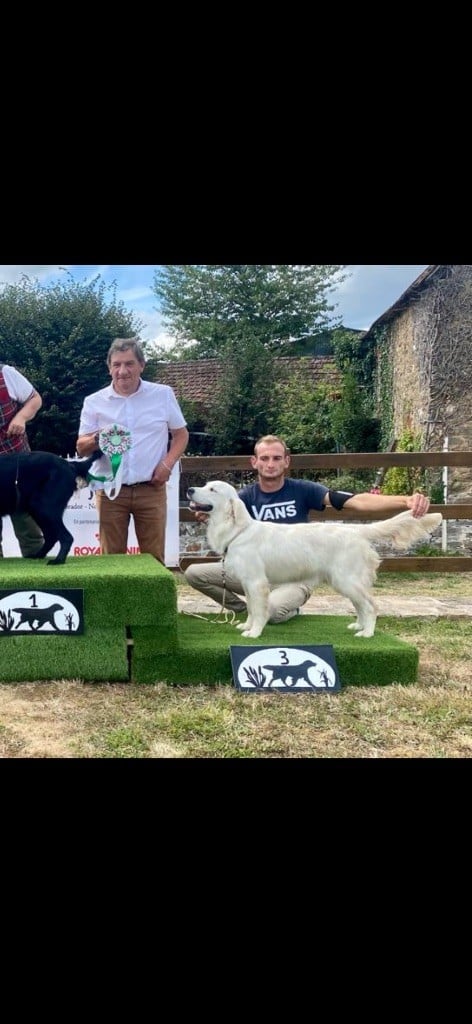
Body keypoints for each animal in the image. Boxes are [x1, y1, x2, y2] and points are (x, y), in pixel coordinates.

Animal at [187, 481, 443, 638]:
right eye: (205, 485)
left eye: (212, 489)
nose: (189, 489)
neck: (237, 529)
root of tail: (356, 530)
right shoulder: (248, 583)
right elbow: (250, 608)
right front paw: (247, 625)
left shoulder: (256, 582)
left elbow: (259, 610)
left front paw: (254, 632)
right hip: (346, 582)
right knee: (360, 606)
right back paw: (358, 625)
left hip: (347, 580)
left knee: (370, 606)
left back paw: (367, 633)